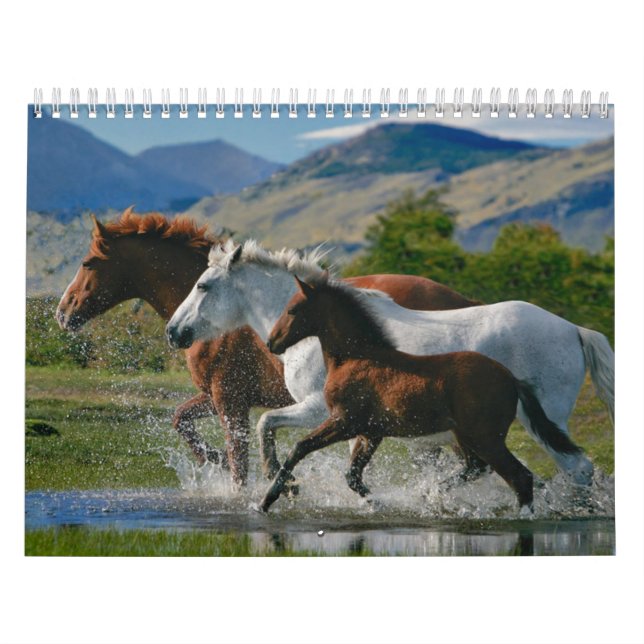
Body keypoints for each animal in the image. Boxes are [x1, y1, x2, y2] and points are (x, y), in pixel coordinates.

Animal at [56, 209, 479, 485]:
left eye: (88, 262)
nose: (63, 312)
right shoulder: (219, 396)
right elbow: (182, 420)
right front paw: (214, 459)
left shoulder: (230, 400)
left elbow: (239, 463)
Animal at [166, 239, 613, 486]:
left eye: (203, 286)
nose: (174, 331)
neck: (324, 333)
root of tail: (573, 329)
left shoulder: (319, 409)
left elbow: (265, 424)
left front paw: (284, 481)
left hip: (544, 422)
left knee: (576, 468)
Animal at [259, 274, 585, 513]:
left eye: (292, 309)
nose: (272, 342)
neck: (358, 357)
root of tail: (512, 379)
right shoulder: (371, 431)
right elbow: (352, 475)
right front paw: (378, 502)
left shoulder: (344, 421)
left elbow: (299, 448)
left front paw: (268, 499)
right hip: (467, 437)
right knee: (478, 468)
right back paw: (433, 494)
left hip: (486, 438)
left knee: (521, 476)